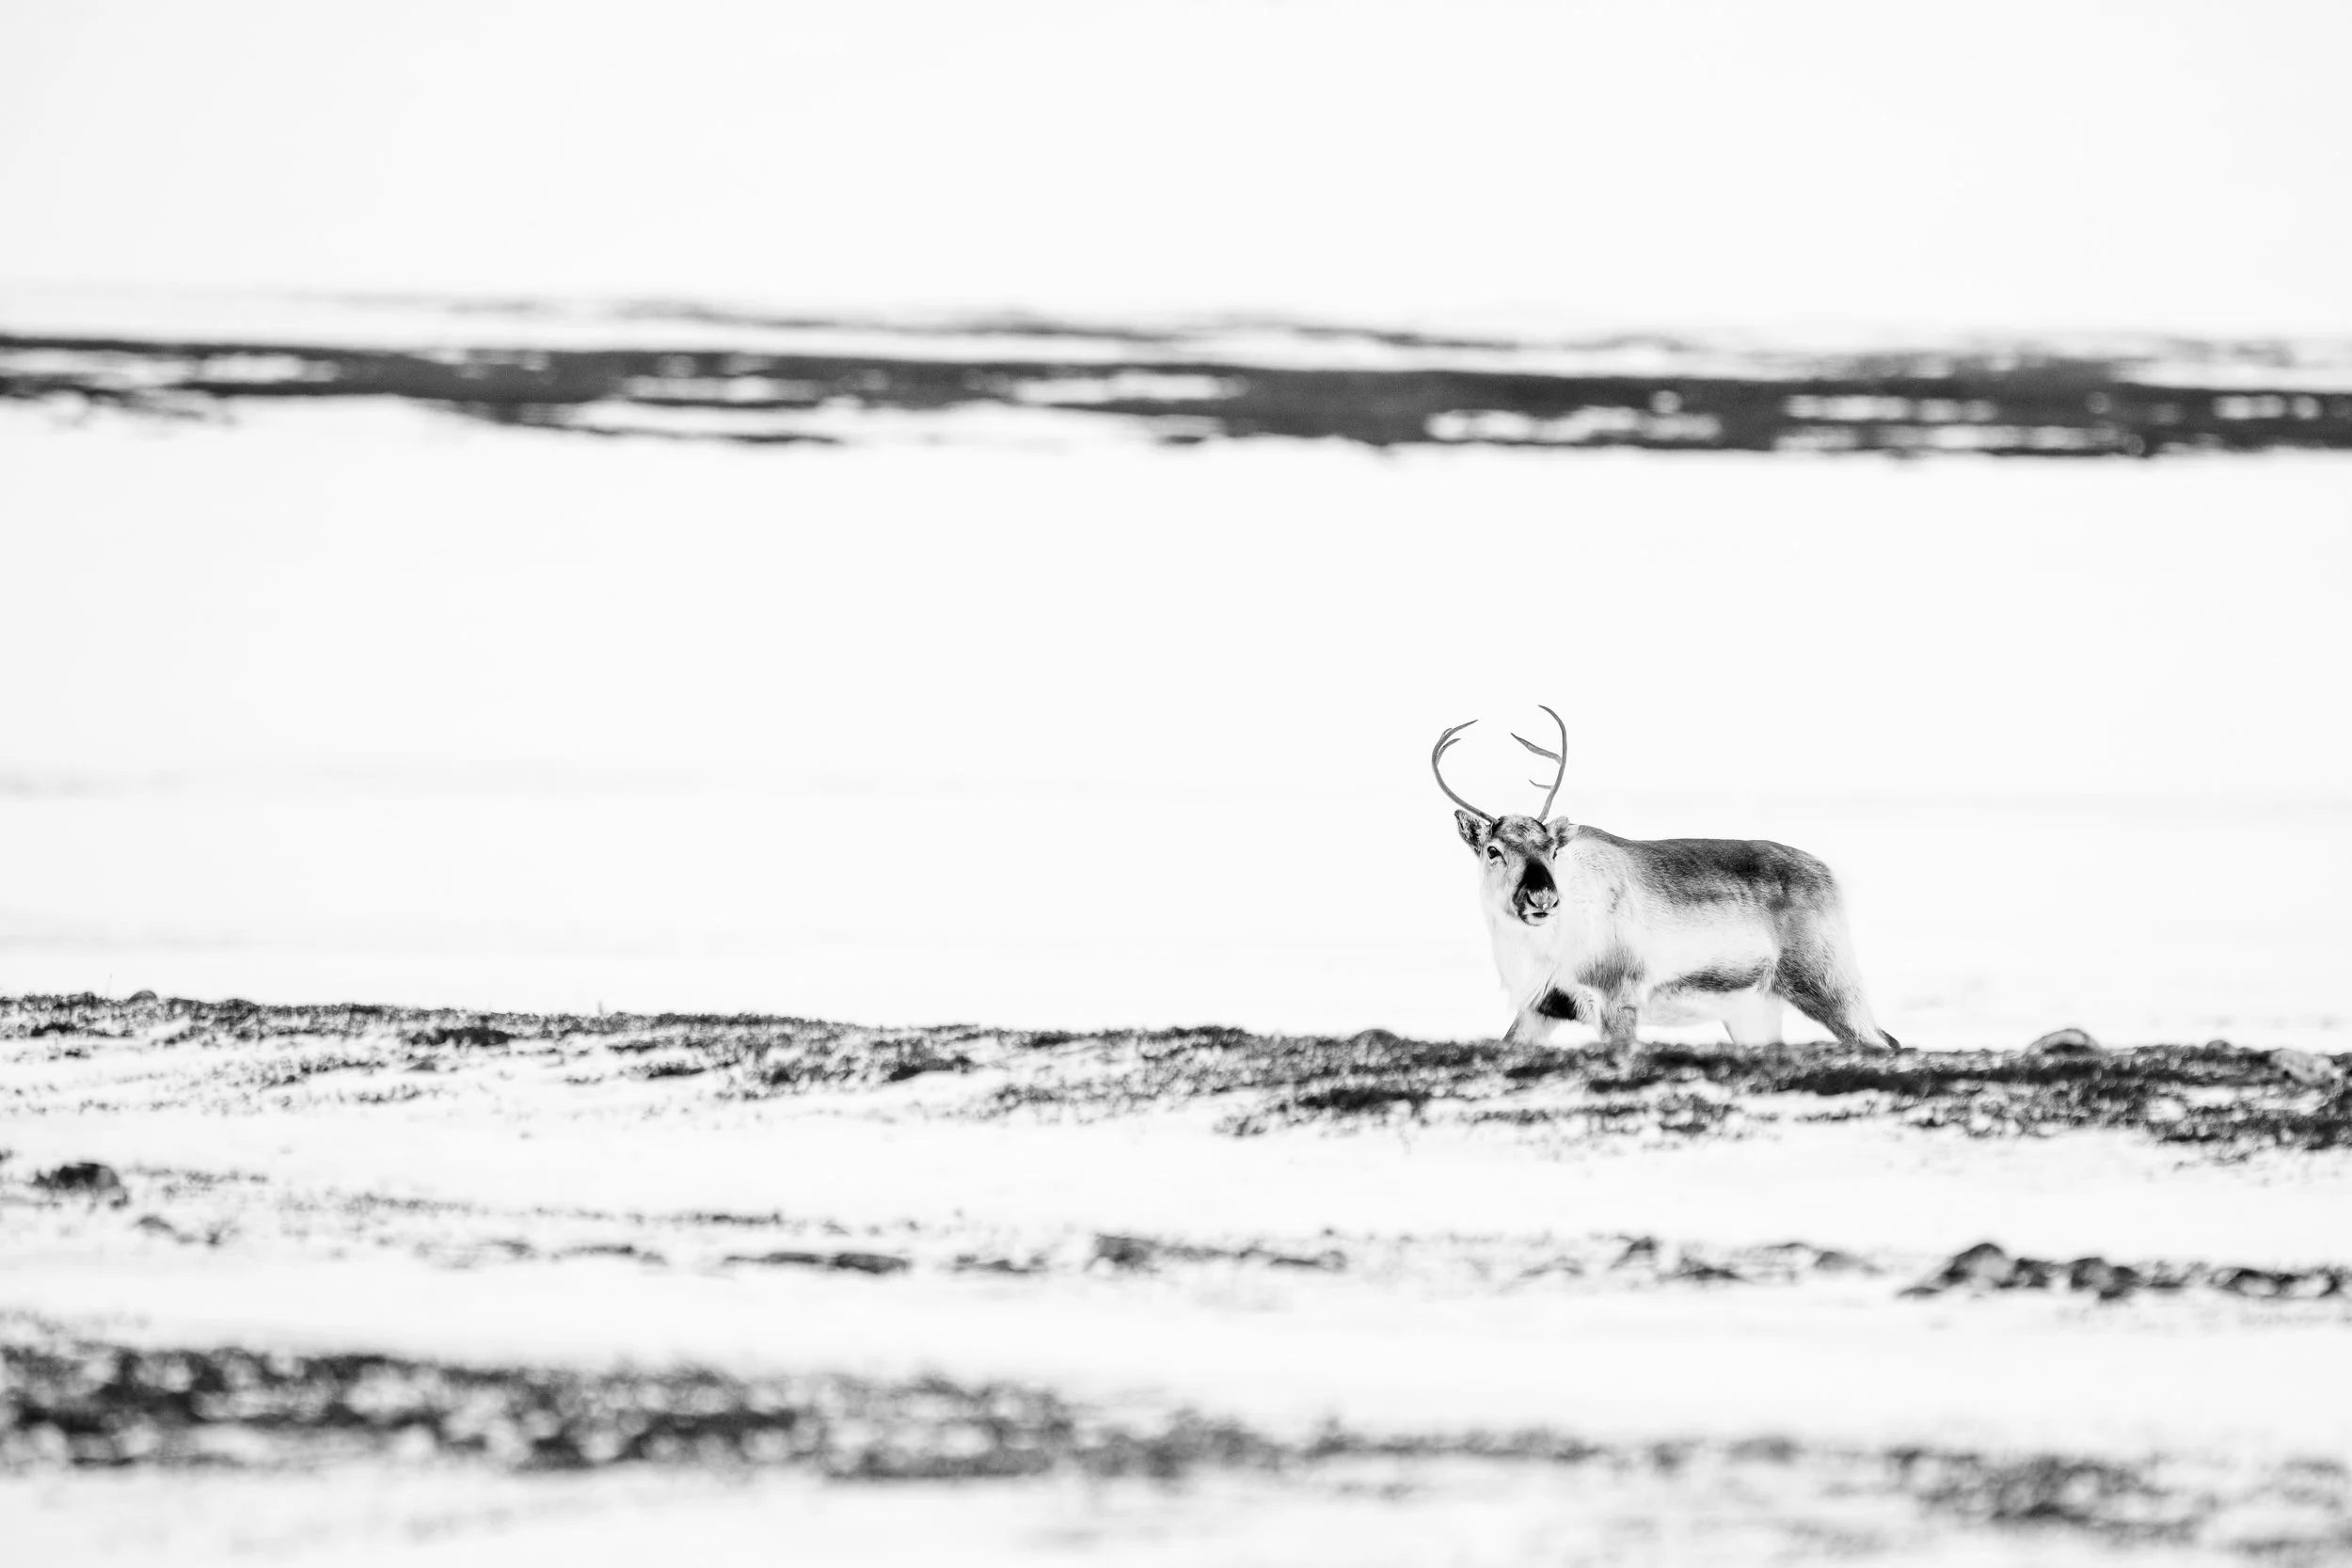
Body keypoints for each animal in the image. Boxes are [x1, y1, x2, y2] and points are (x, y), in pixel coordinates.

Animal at [1434, 708, 1901, 1056]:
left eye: (1551, 848)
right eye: (1493, 850)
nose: (1541, 897)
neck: (1541, 951)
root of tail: (1830, 876)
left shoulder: (1617, 998)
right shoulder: (1542, 1006)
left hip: (1828, 981)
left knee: (1882, 1041)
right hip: (1753, 1010)